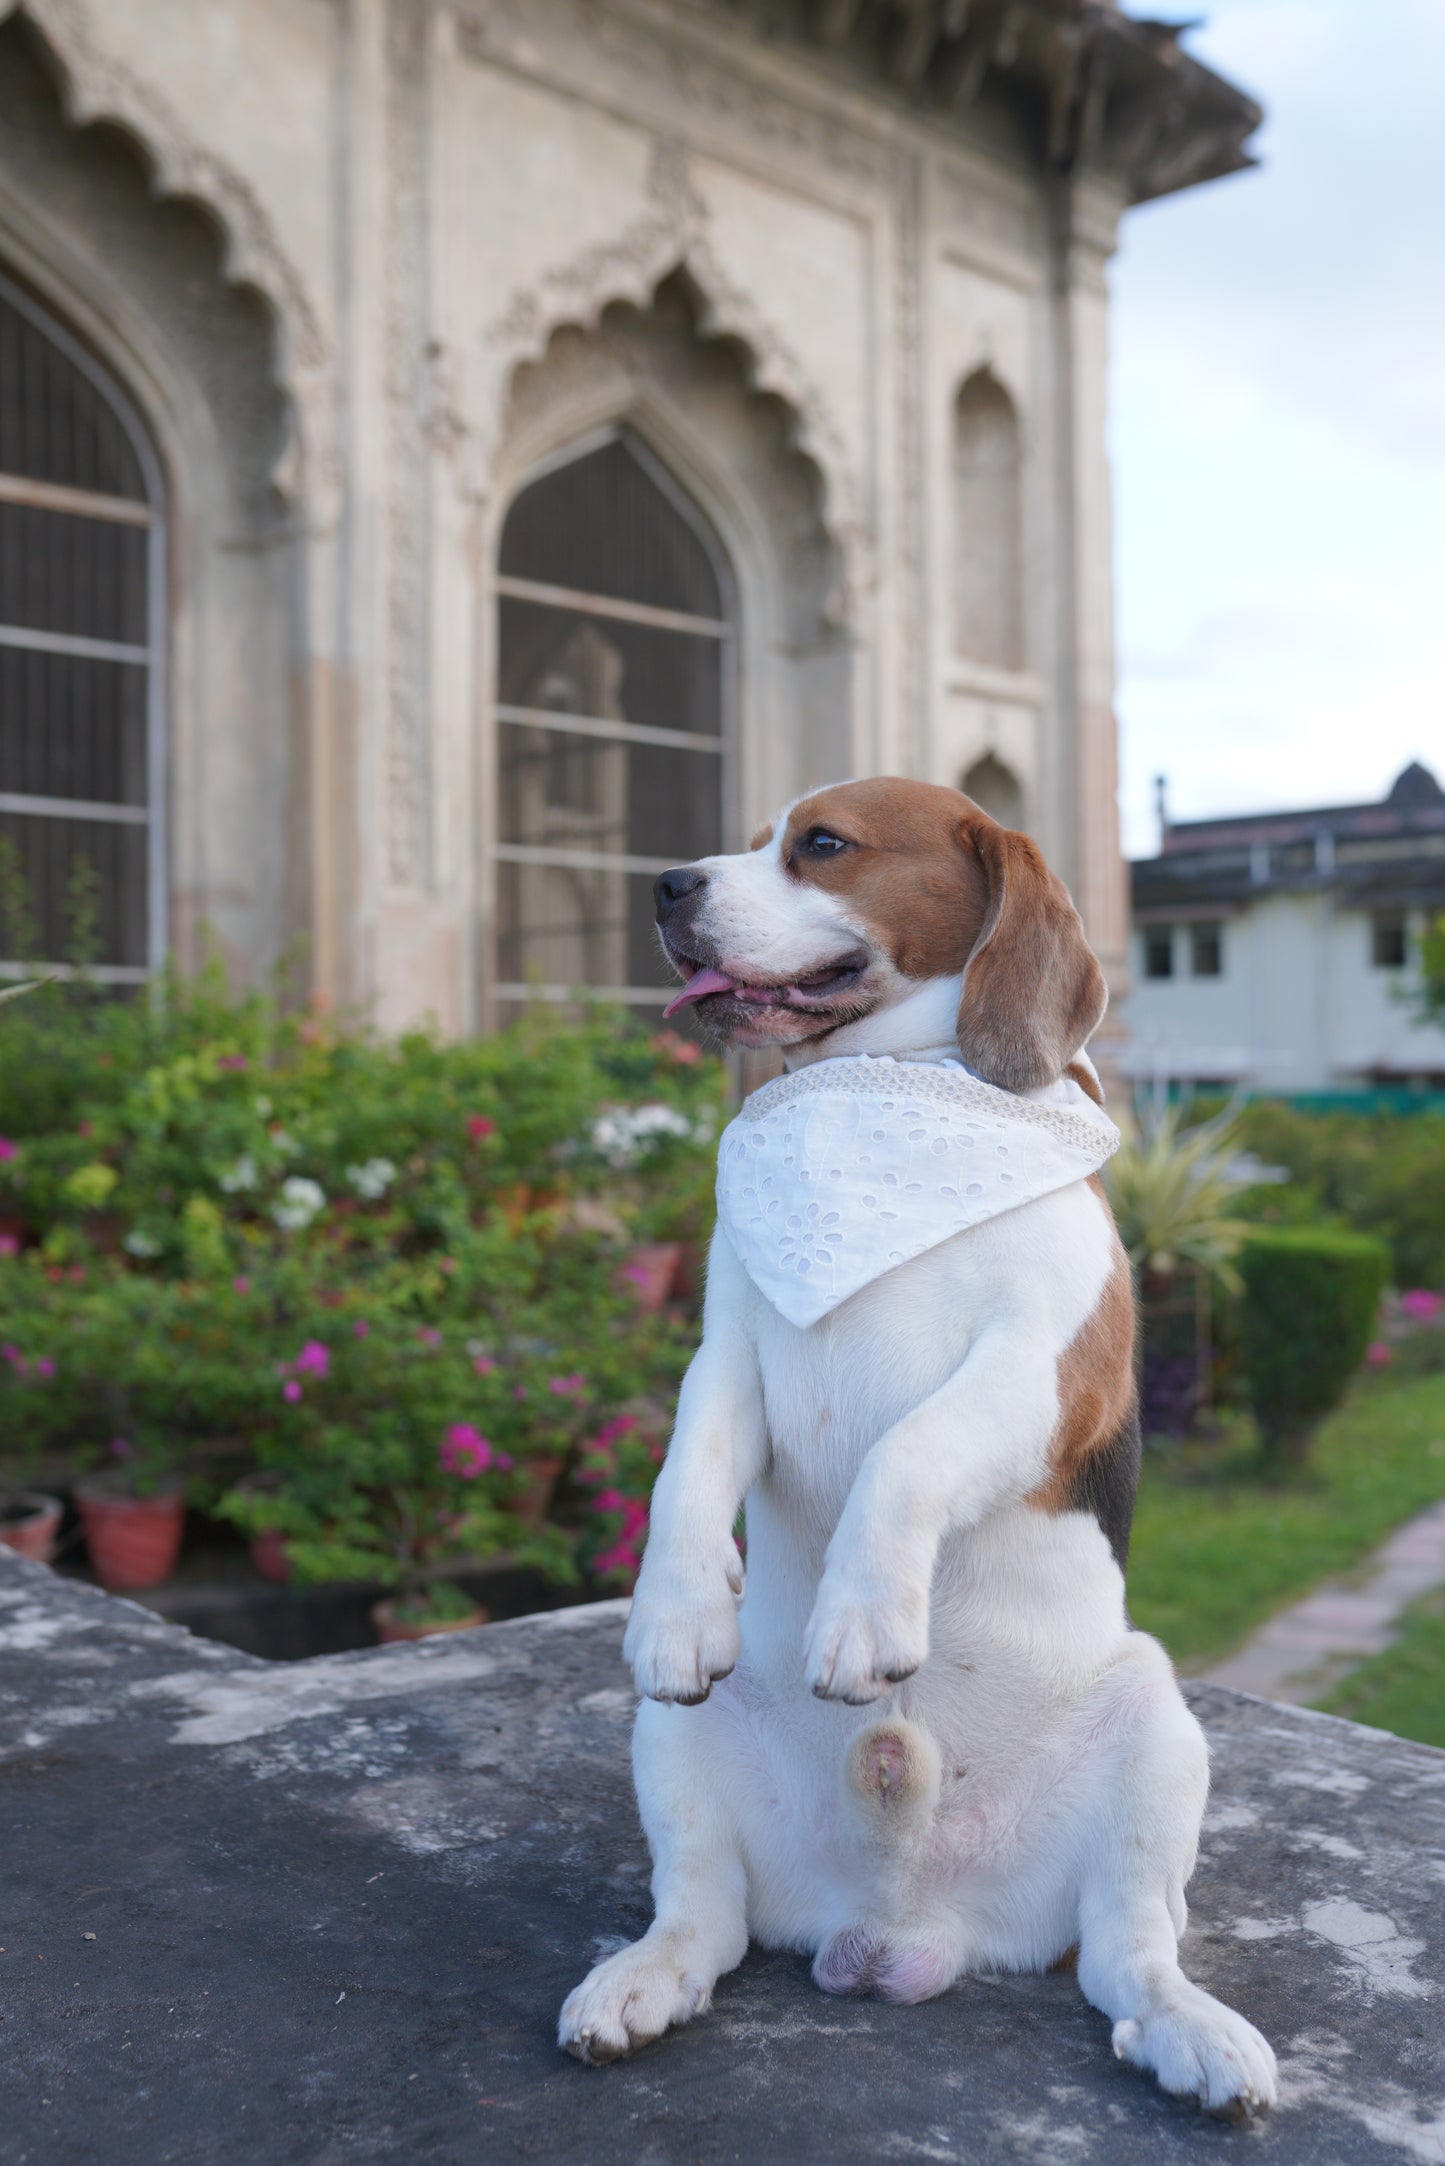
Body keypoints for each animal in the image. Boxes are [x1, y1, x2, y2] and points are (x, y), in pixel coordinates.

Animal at [558, 779, 1282, 2114]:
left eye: (821, 845)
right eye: (748, 837)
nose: (667, 887)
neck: (879, 1088)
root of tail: (902, 1921)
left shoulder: (1041, 1373)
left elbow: (907, 1452)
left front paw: (862, 1615)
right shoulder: (728, 1349)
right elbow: (684, 1470)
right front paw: (679, 1603)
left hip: (1156, 1732)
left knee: (1129, 1953)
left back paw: (1191, 2033)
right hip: (674, 1741)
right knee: (703, 1917)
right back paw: (641, 1980)